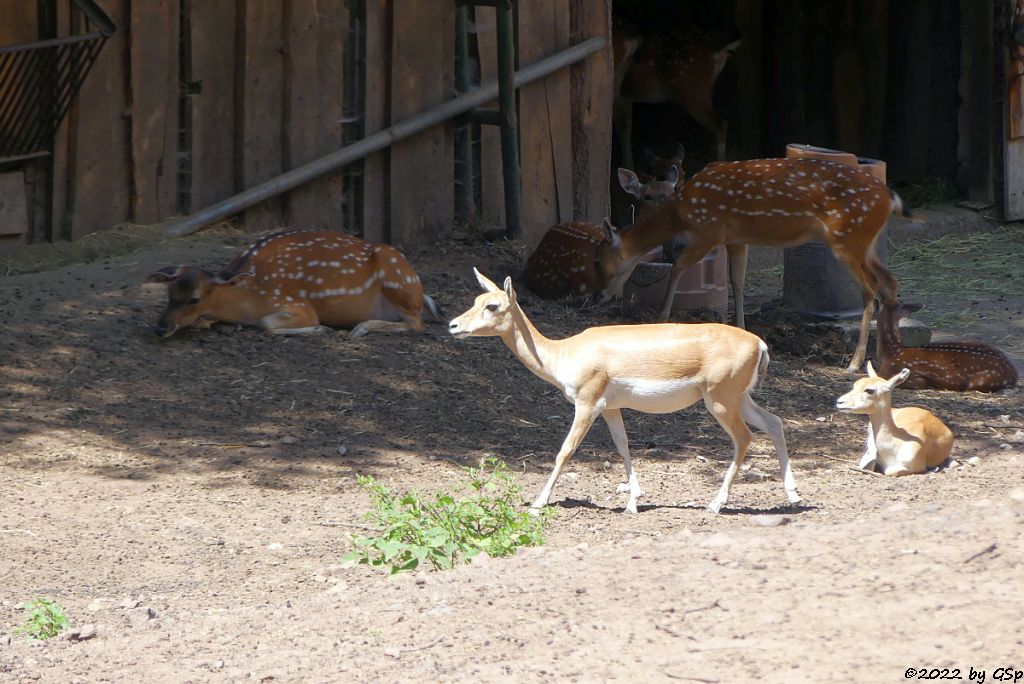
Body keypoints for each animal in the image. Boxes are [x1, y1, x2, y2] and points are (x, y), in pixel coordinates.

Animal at [146, 228, 442, 337]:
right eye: (169, 293)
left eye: (194, 299)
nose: (160, 328)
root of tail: (420, 292)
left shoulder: (296, 304)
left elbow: (267, 324)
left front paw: (321, 328)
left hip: (398, 280)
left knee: (417, 324)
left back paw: (360, 328)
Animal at [448, 266, 798, 511]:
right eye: (476, 300)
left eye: (493, 306)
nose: (453, 325)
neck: (565, 354)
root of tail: (759, 343)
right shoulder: (612, 407)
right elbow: (623, 445)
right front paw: (633, 502)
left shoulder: (587, 404)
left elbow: (565, 450)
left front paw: (537, 504)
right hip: (740, 398)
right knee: (774, 423)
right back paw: (793, 496)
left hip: (720, 401)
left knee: (745, 437)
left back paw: (715, 504)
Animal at [593, 157, 913, 370]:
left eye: (597, 261)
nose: (598, 295)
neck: (681, 212)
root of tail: (890, 198)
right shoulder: (736, 238)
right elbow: (737, 280)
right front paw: (743, 331)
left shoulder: (709, 230)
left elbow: (678, 267)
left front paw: (661, 317)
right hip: (864, 242)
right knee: (890, 280)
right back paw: (891, 357)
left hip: (846, 238)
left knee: (870, 290)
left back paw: (855, 362)